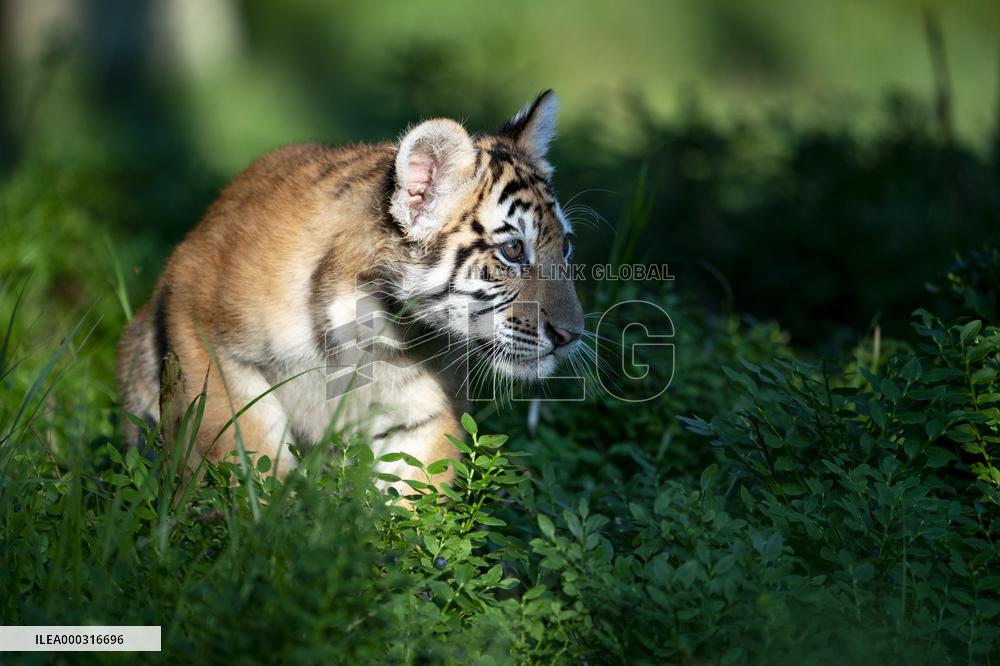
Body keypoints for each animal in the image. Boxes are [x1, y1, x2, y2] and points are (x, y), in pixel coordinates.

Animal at [117, 90, 584, 491]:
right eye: (512, 250)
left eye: (565, 246)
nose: (571, 336)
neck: (377, 326)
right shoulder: (202, 330)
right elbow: (246, 450)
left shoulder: (426, 411)